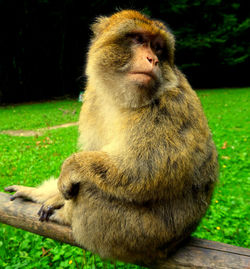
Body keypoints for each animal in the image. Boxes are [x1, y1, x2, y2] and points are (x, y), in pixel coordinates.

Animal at [4, 9, 218, 264]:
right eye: (139, 40)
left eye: (157, 48)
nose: (153, 60)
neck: (121, 98)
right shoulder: (93, 99)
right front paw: (47, 195)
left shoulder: (170, 107)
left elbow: (143, 168)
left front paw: (71, 168)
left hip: (139, 235)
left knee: (90, 189)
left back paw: (65, 217)